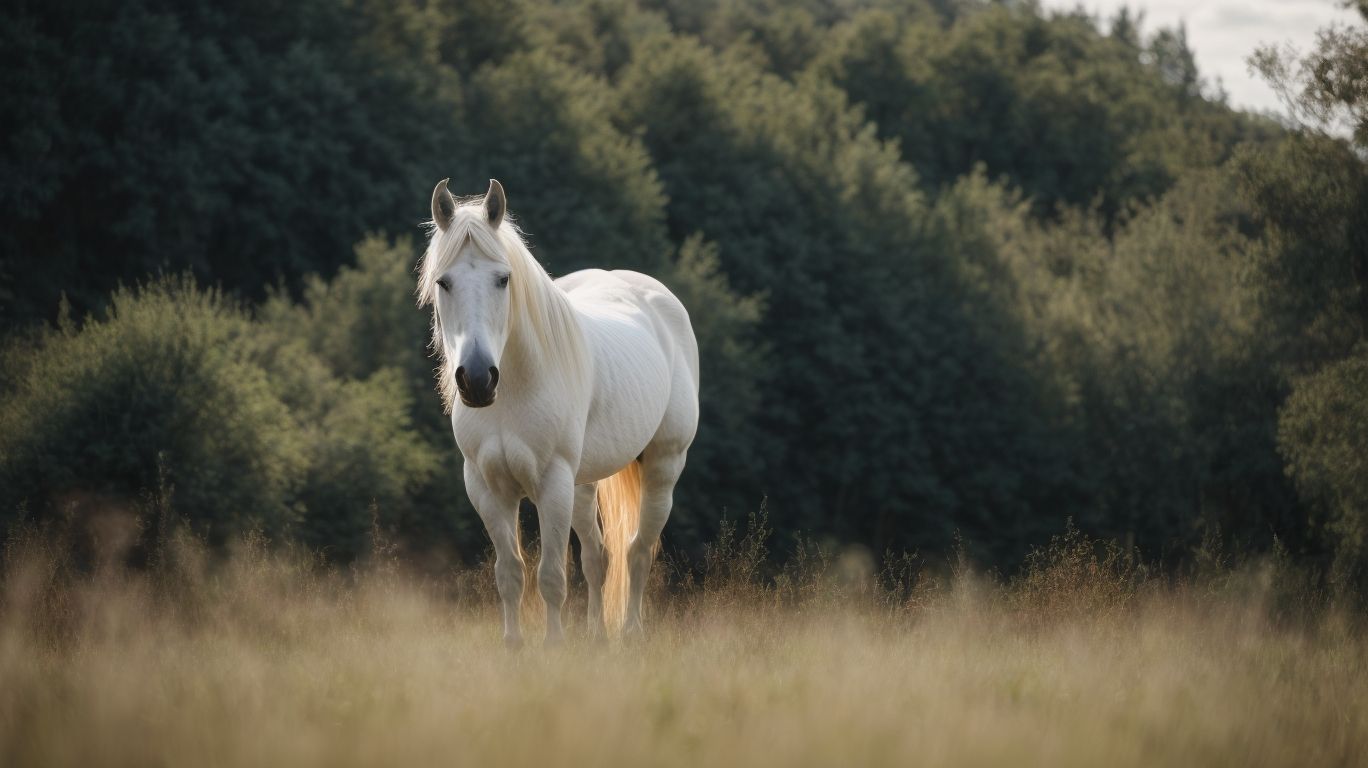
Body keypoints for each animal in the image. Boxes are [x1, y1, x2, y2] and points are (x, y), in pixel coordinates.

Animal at [418, 178, 699, 647]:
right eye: (444, 282)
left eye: (503, 279)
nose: (476, 379)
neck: (513, 393)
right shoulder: (486, 487)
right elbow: (511, 574)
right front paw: (514, 646)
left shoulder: (552, 484)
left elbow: (550, 575)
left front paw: (552, 647)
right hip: (584, 485)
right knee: (598, 558)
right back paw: (598, 638)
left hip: (663, 466)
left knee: (637, 551)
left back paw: (630, 633)